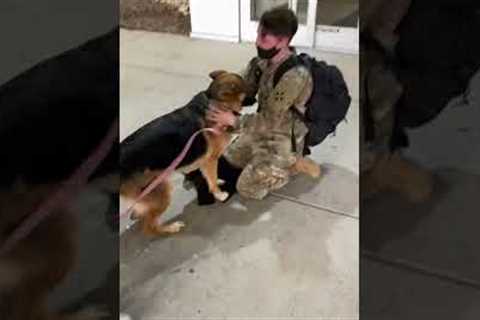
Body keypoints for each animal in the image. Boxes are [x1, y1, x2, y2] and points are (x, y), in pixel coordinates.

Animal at [119, 70, 248, 235]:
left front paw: (217, 181)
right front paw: (219, 194)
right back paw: (170, 228)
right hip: (161, 191)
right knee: (149, 227)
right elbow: (212, 179)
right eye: (247, 89)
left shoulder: (205, 162)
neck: (213, 102)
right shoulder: (210, 160)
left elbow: (211, 177)